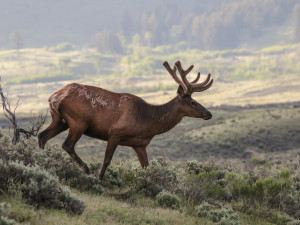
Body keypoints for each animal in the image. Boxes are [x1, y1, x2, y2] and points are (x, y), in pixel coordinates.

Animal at [38, 60, 213, 180]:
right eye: (193, 102)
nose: (208, 113)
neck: (149, 122)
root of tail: (54, 97)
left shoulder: (140, 145)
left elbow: (146, 167)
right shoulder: (115, 133)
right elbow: (107, 160)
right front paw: (99, 180)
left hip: (60, 120)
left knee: (42, 136)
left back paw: (42, 161)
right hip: (78, 121)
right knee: (67, 145)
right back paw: (86, 169)